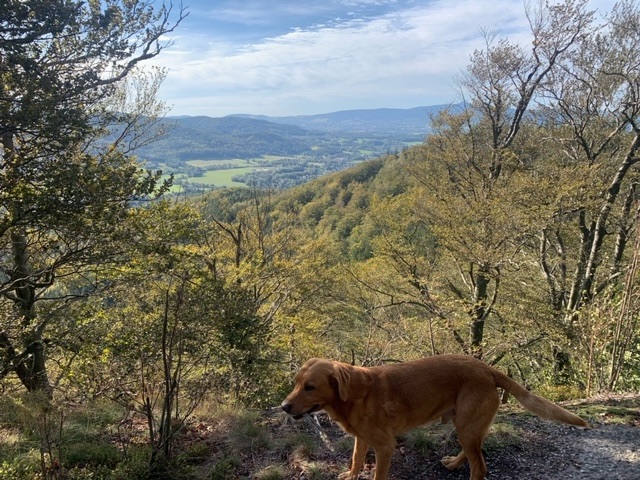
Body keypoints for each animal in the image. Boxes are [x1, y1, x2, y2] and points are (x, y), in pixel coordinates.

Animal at [281, 355, 589, 480]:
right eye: (296, 383)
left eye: (310, 387)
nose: (284, 407)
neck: (354, 394)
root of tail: (487, 369)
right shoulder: (362, 439)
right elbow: (356, 460)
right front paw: (351, 475)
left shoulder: (384, 446)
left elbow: (378, 474)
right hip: (467, 425)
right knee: (476, 452)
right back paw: (453, 463)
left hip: (466, 425)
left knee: (480, 468)